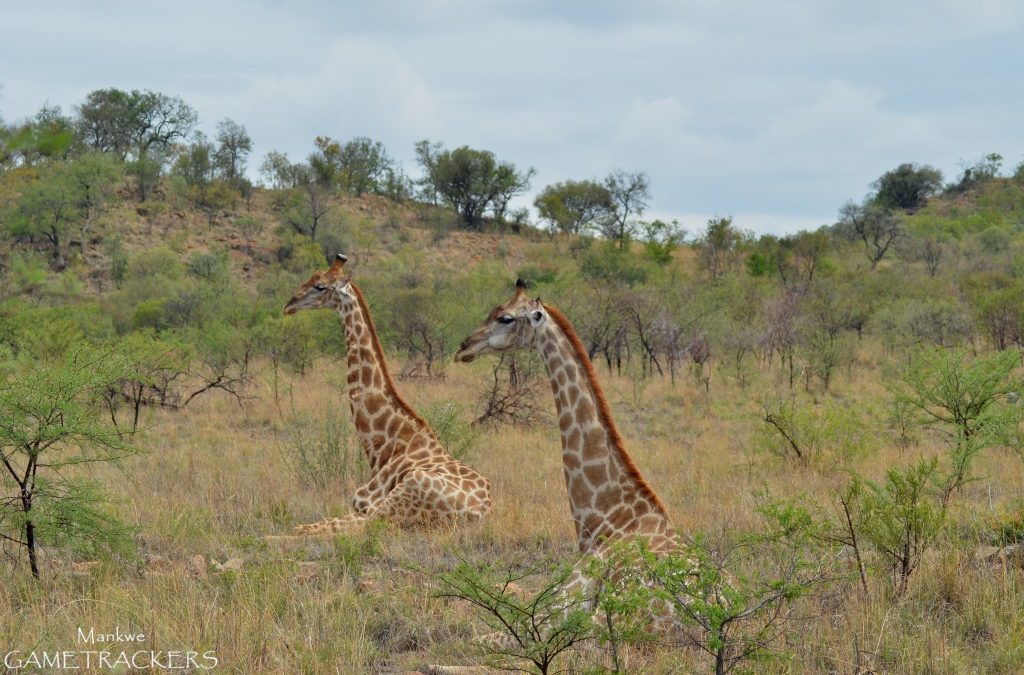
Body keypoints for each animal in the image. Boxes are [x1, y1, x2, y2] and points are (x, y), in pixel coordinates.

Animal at [282, 254, 492, 535]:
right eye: (311, 277)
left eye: (320, 287)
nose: (289, 304)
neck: (384, 446)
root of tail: (481, 513)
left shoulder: (366, 503)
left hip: (404, 495)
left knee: (322, 529)